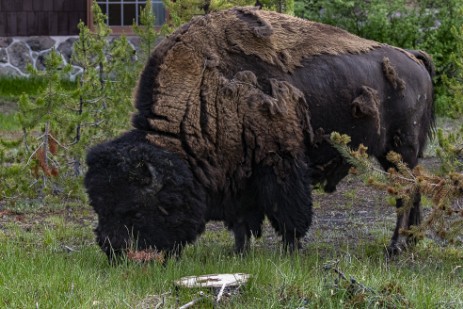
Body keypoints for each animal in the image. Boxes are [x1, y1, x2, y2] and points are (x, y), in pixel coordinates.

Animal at [85, 6, 436, 260]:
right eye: (98, 205)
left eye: (133, 208)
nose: (112, 249)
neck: (201, 92)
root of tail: (413, 58)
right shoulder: (239, 169)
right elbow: (243, 220)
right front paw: (239, 253)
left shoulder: (279, 162)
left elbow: (288, 213)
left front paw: (290, 252)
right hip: (396, 155)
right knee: (414, 190)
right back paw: (412, 242)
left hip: (400, 148)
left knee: (405, 192)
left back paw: (395, 248)